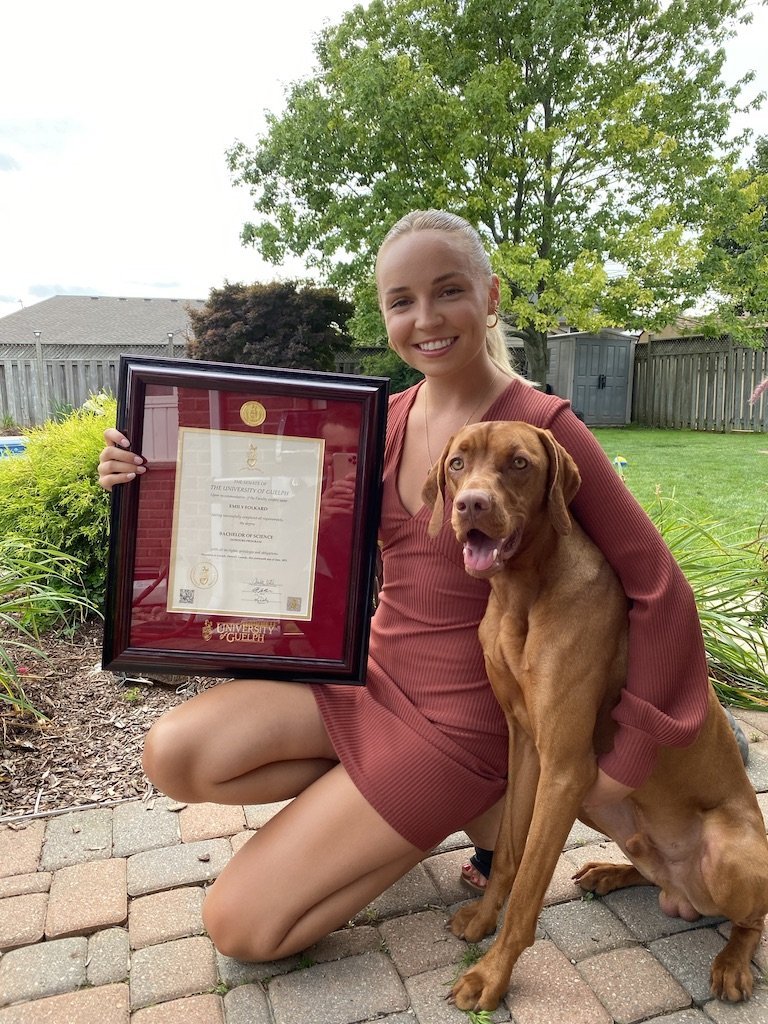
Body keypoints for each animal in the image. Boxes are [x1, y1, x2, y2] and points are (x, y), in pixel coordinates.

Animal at [422, 420, 768, 1012]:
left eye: (519, 463)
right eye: (457, 464)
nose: (471, 504)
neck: (520, 595)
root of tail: (687, 897)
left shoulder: (566, 768)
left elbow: (528, 889)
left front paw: (491, 975)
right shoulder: (527, 747)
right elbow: (509, 853)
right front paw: (482, 919)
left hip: (725, 850)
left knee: (751, 920)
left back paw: (732, 964)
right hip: (603, 806)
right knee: (656, 875)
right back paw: (611, 871)